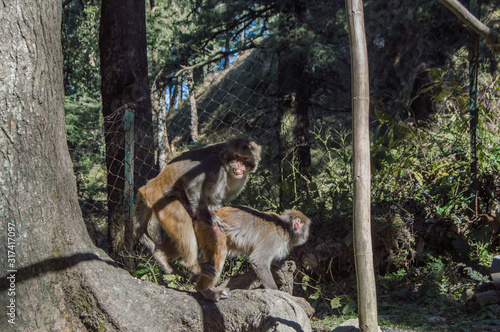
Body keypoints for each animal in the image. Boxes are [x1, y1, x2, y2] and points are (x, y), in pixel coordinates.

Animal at [133, 137, 262, 274]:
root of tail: (149, 186)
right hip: (161, 199)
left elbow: (214, 201)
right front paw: (209, 217)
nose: (239, 164)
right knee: (183, 221)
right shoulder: (215, 166)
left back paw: (161, 256)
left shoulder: (240, 180)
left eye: (245, 158)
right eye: (237, 155)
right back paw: (192, 265)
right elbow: (192, 186)